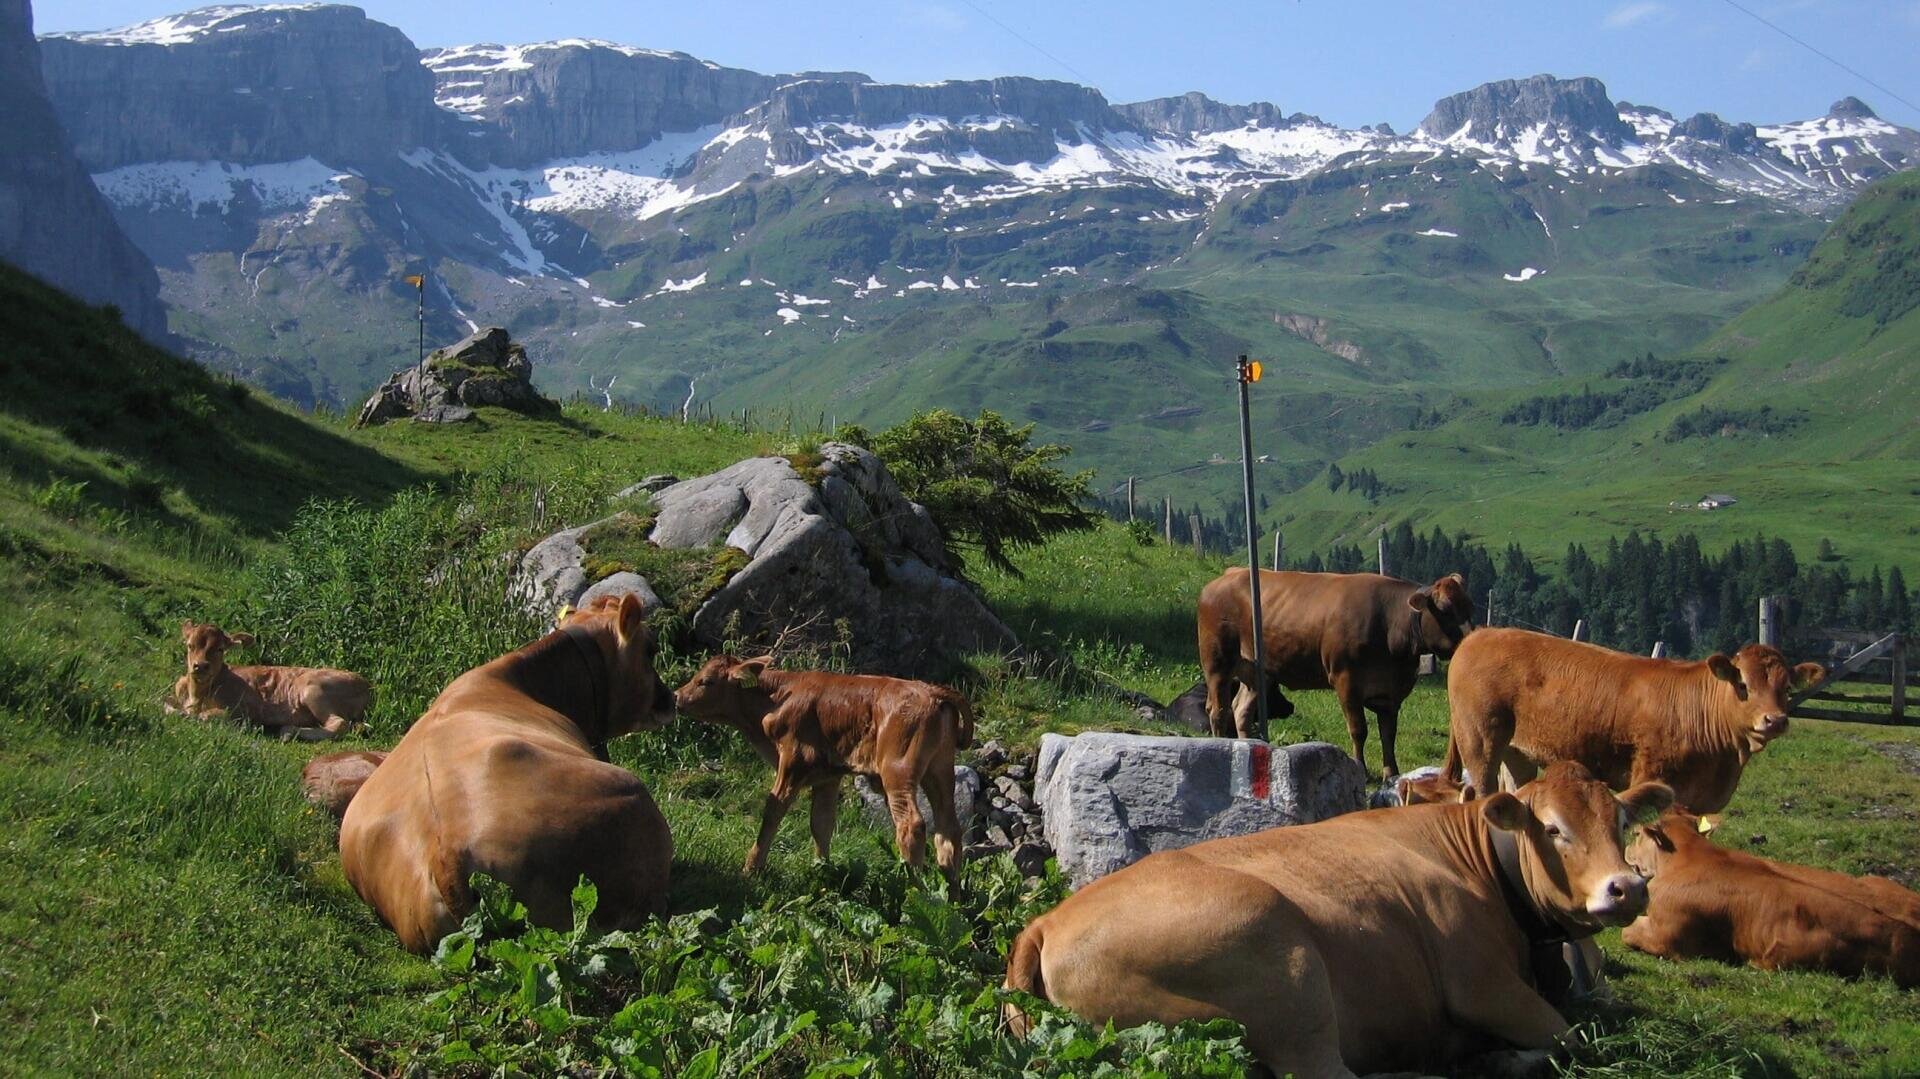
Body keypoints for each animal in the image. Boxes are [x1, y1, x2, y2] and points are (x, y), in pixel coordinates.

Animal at [165, 621, 372, 741]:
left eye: (220, 649)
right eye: (190, 645)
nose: (200, 666)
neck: (197, 695)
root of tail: (367, 685)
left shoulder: (242, 711)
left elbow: (204, 715)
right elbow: (166, 704)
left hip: (312, 689)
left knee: (339, 724)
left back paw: (289, 731)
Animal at [675, 655, 973, 887]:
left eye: (705, 681)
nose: (677, 696)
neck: (777, 699)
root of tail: (931, 691)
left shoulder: (793, 760)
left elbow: (773, 811)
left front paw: (752, 867)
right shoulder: (828, 775)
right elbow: (822, 822)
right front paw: (823, 869)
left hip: (898, 770)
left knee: (912, 825)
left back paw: (913, 888)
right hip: (940, 769)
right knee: (949, 829)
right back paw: (952, 897)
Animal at [1002, 761, 1672, 1078]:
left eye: (1620, 821)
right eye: (1554, 829)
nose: (1628, 887)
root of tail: (1046, 923)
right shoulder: (1479, 981)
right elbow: (1569, 1038)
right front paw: (1505, 1055)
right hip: (1284, 964)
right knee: (1325, 1072)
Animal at [1197, 569, 1475, 778]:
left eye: (1469, 605)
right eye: (1445, 609)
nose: (1473, 638)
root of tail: (1226, 576)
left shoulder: (1390, 693)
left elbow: (1388, 734)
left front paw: (1392, 773)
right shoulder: (1346, 681)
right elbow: (1359, 730)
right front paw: (1361, 768)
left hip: (1258, 674)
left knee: (1241, 710)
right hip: (1217, 661)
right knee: (1218, 710)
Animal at [1446, 627, 1825, 813]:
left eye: (1787, 687)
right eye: (1743, 685)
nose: (1774, 721)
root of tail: (1482, 633)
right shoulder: (1650, 774)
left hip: (1518, 752)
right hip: (1479, 741)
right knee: (1482, 790)